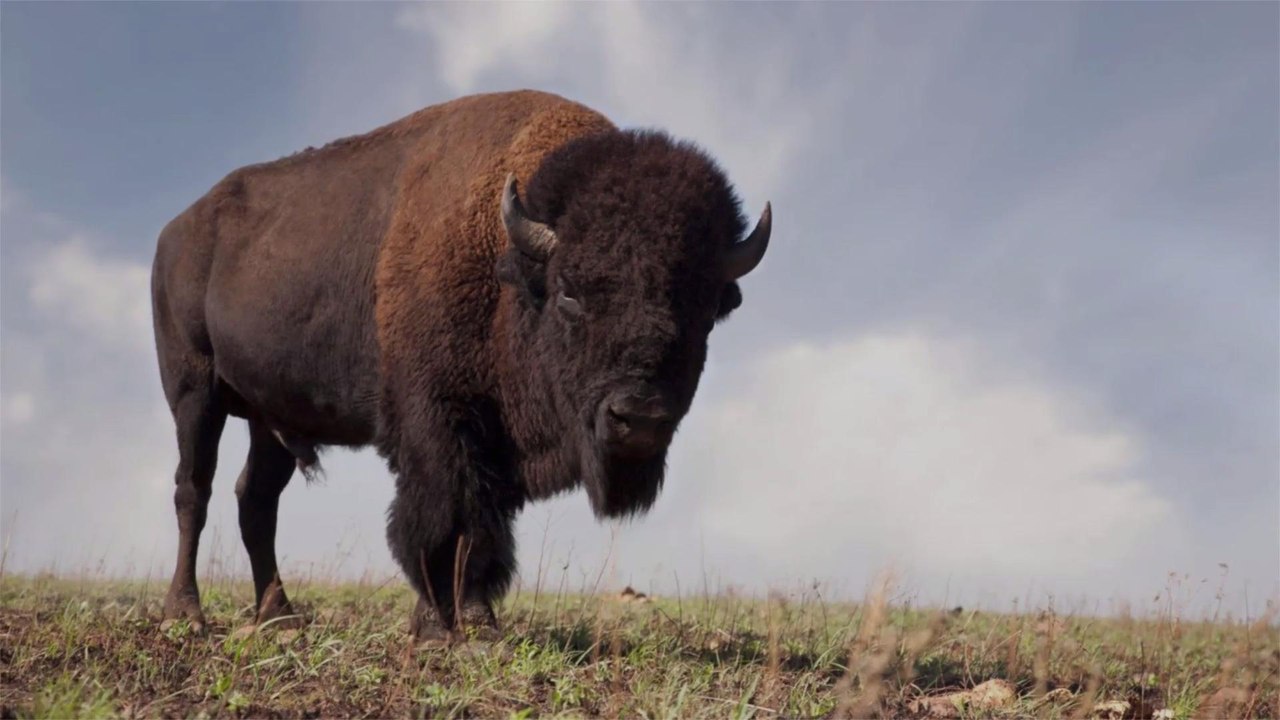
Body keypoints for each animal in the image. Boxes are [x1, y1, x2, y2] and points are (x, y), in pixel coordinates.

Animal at [150, 90, 772, 642]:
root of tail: (175, 231)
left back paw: (280, 616)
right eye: (570, 291)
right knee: (193, 490)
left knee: (255, 499)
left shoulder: (498, 443)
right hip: (194, 393)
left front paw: (478, 620)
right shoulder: (438, 423)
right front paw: (434, 626)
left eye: (702, 307)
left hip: (271, 418)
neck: (510, 270)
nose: (638, 418)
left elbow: (484, 526)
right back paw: (187, 614)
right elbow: (443, 518)